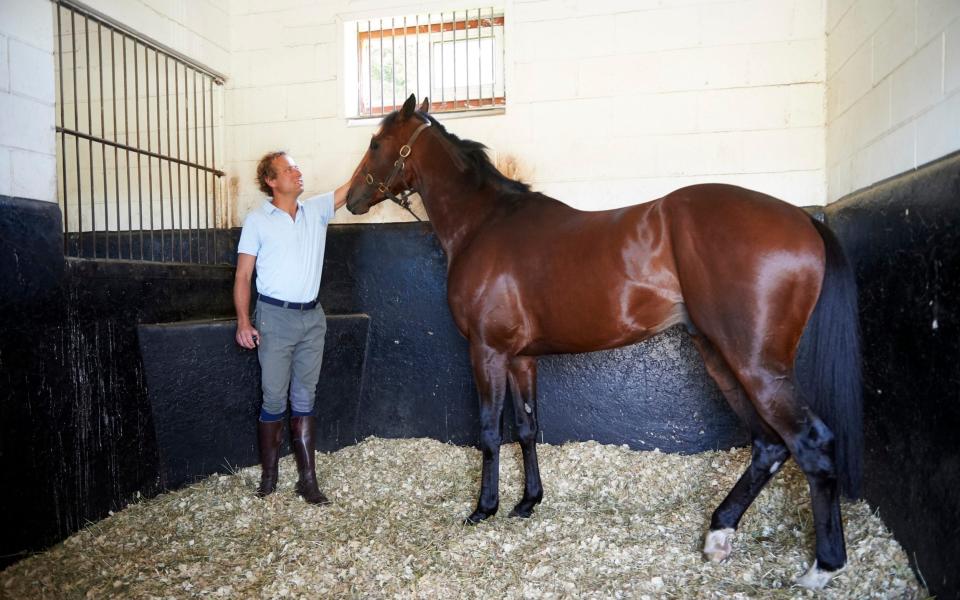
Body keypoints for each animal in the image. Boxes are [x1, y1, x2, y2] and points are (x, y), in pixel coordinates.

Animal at [344, 95, 864, 592]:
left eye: (375, 143)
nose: (351, 199)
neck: (485, 226)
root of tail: (802, 220)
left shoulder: (487, 352)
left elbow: (491, 433)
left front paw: (484, 509)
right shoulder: (521, 358)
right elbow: (527, 428)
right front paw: (528, 502)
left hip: (755, 364)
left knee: (809, 443)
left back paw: (822, 566)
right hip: (721, 357)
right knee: (768, 446)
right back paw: (720, 532)